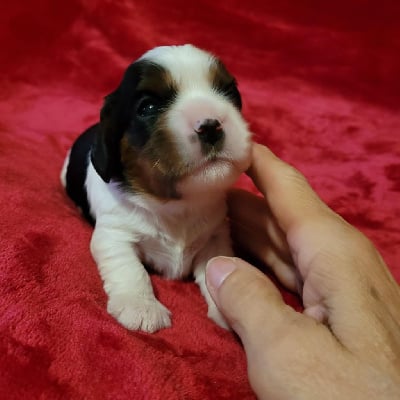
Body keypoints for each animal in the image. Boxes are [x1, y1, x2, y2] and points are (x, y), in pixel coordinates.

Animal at [61, 43, 252, 332]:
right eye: (148, 106)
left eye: (229, 93)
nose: (210, 126)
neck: (176, 204)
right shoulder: (114, 233)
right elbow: (130, 268)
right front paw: (141, 306)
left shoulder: (215, 236)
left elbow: (214, 265)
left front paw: (225, 310)